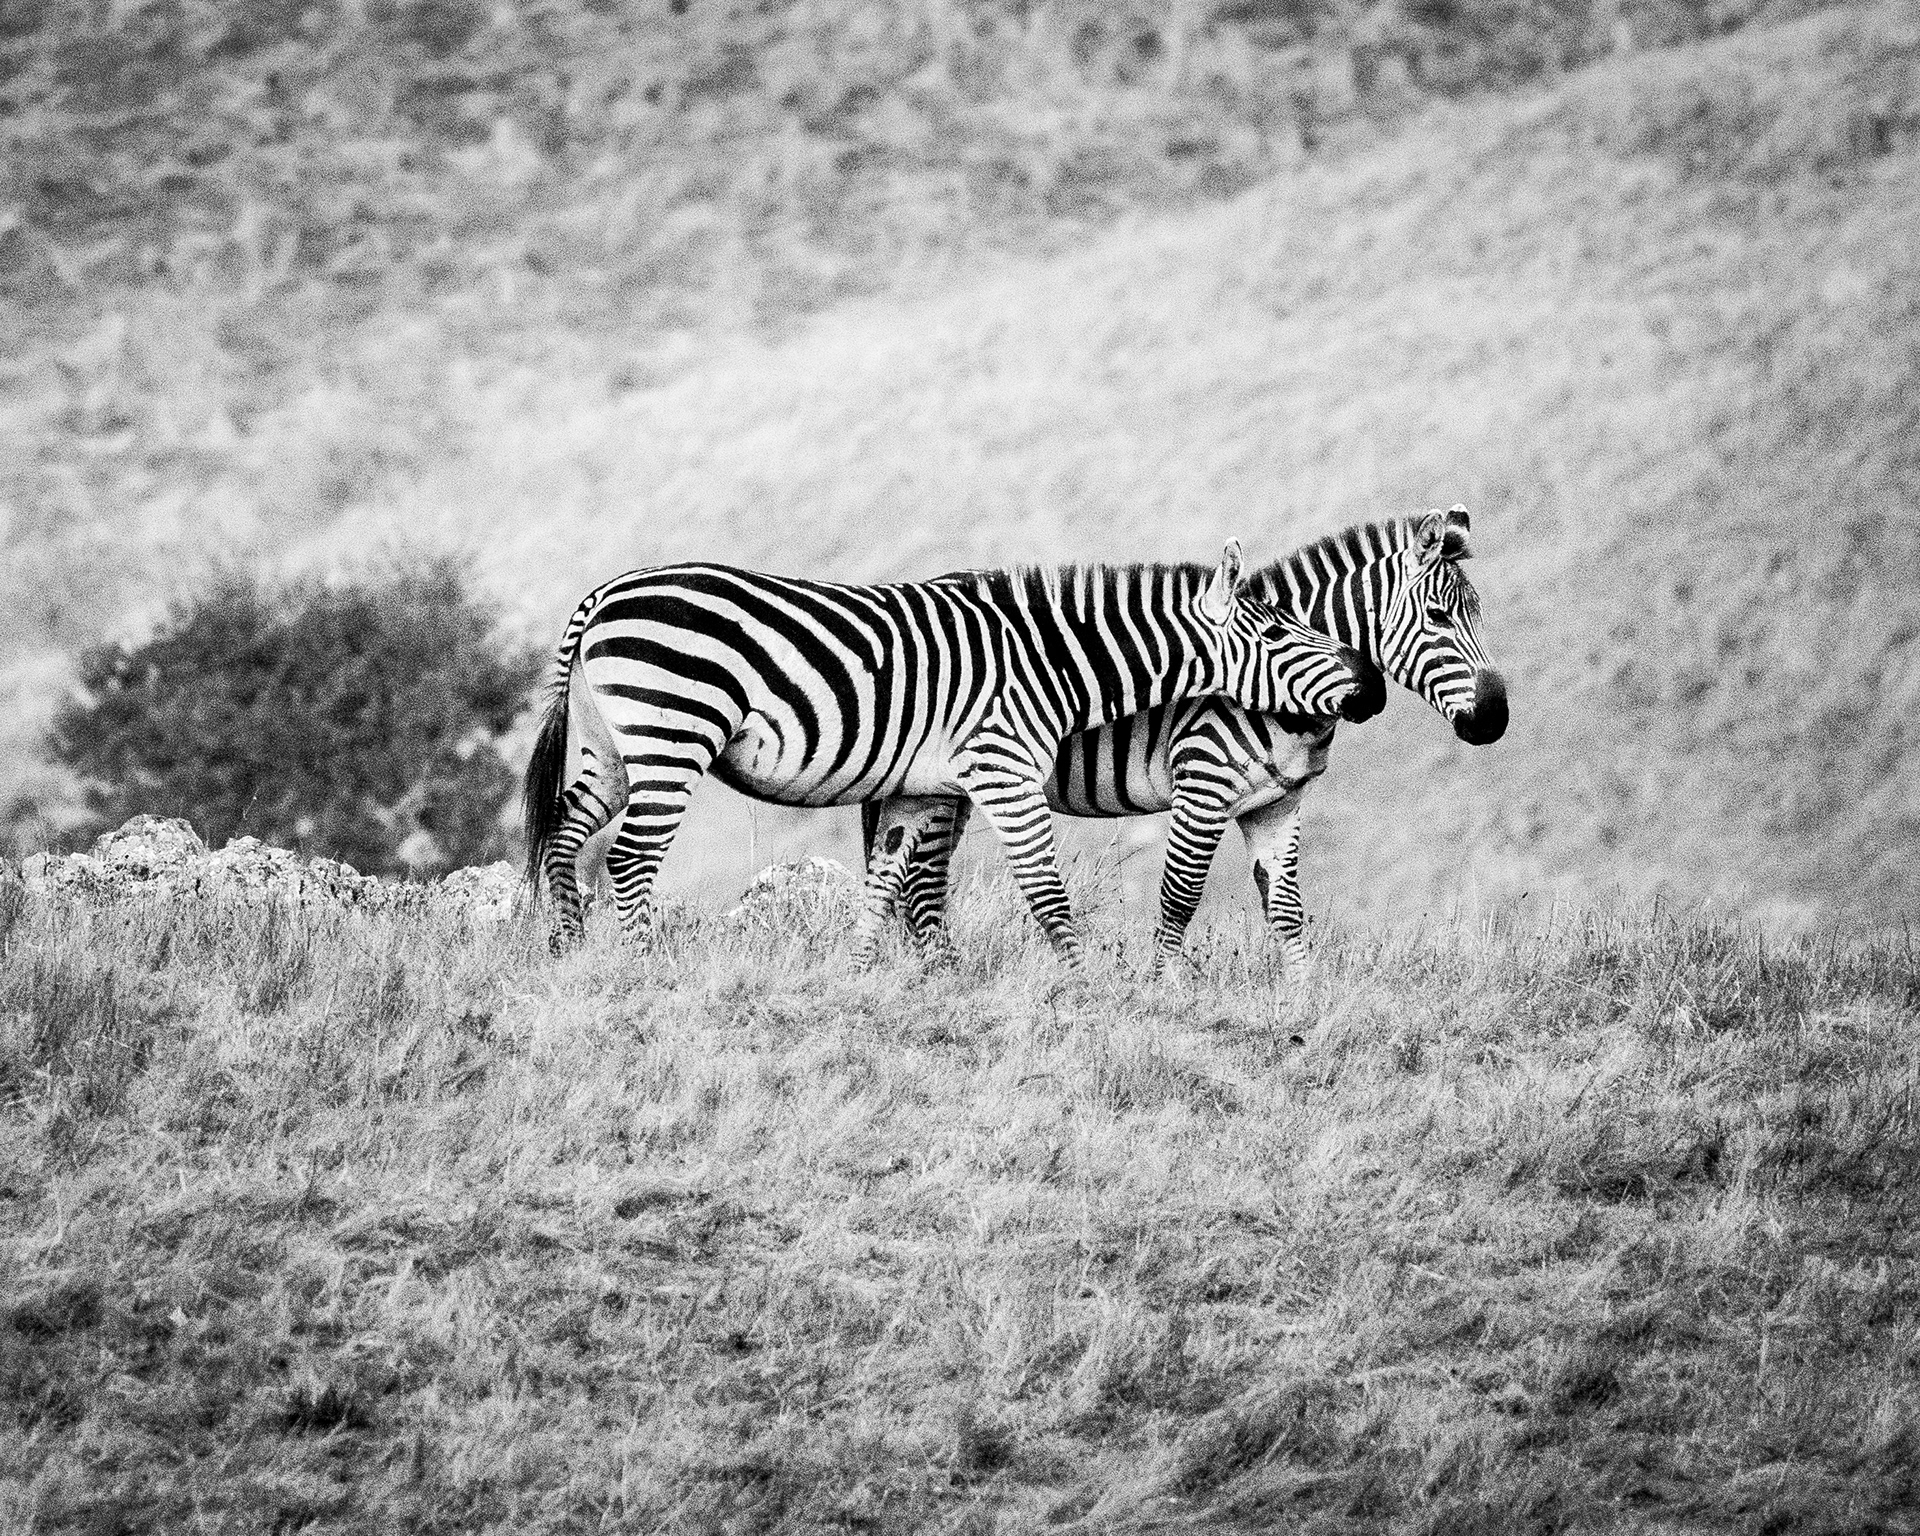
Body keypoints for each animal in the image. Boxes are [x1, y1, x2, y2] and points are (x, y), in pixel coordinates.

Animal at [520, 542, 1382, 966]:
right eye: (1280, 633)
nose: (1369, 687)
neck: (1050, 659)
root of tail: (607, 593)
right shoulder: (1002, 768)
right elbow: (1046, 893)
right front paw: (1086, 987)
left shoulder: (918, 786)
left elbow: (886, 884)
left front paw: (861, 977)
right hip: (674, 730)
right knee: (629, 857)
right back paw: (643, 969)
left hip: (608, 744)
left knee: (566, 838)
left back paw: (564, 954)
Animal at [856, 506, 1507, 974]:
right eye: (1439, 617)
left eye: (1477, 614)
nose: (1494, 720)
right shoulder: (1202, 787)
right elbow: (1180, 898)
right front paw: (1161, 988)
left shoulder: (1279, 802)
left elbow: (1287, 910)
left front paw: (1305, 997)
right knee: (922, 881)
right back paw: (941, 975)